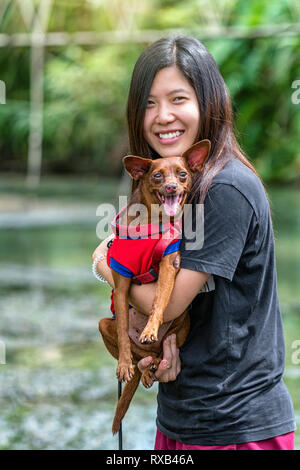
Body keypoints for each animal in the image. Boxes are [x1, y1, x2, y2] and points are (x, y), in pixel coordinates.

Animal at [99, 139, 211, 434]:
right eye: (158, 176)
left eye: (182, 174)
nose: (171, 187)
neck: (154, 222)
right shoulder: (122, 283)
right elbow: (124, 329)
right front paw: (123, 364)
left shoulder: (169, 265)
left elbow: (159, 300)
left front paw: (150, 328)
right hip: (103, 324)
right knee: (139, 356)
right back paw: (141, 367)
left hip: (182, 323)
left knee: (157, 354)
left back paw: (155, 362)